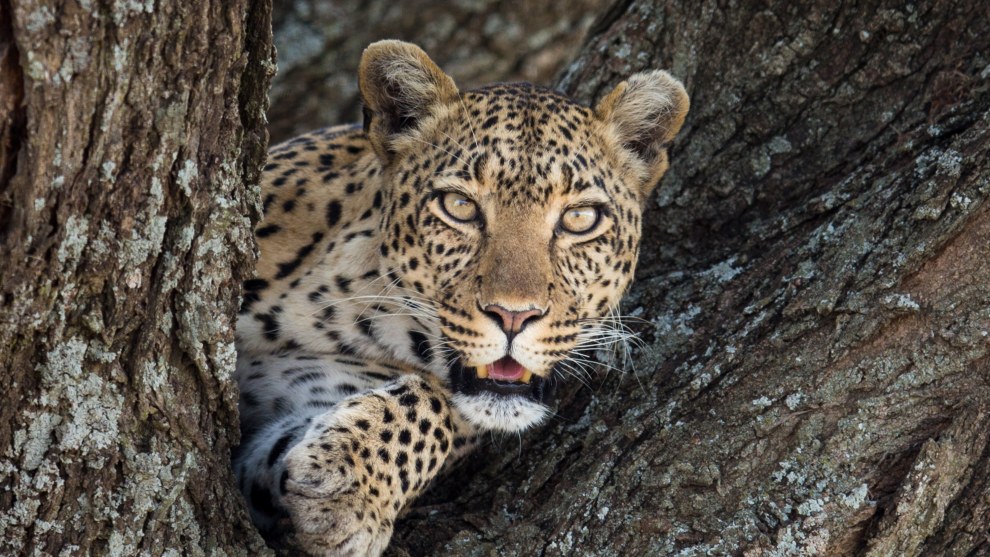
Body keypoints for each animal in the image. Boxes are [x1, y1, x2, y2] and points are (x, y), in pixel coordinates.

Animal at [232, 40, 689, 556]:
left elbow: (437, 407)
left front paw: (351, 486)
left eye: (580, 218)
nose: (513, 316)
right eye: (460, 207)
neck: (348, 307)